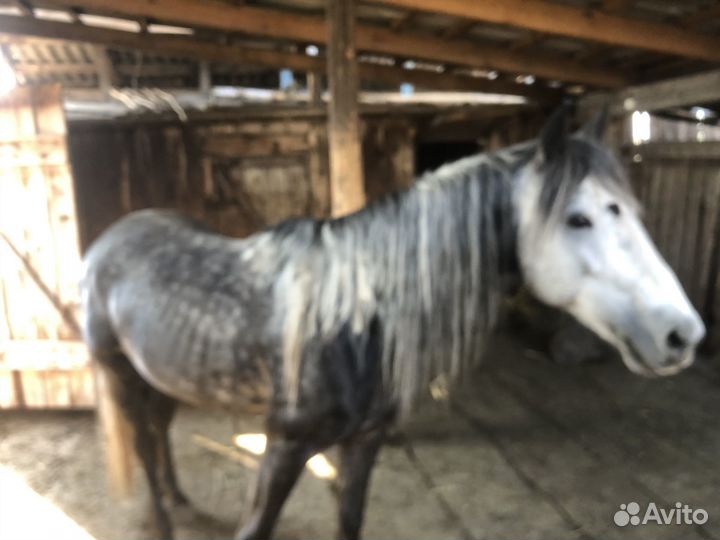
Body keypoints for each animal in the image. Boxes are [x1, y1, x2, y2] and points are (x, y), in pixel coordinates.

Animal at [80, 105, 705, 540]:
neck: (350, 321)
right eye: (578, 219)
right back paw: (163, 521)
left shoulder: (364, 444)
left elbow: (350, 521)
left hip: (164, 374)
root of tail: (110, 240)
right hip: (120, 373)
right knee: (143, 441)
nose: (683, 335)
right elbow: (257, 527)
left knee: (159, 431)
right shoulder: (282, 448)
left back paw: (180, 501)